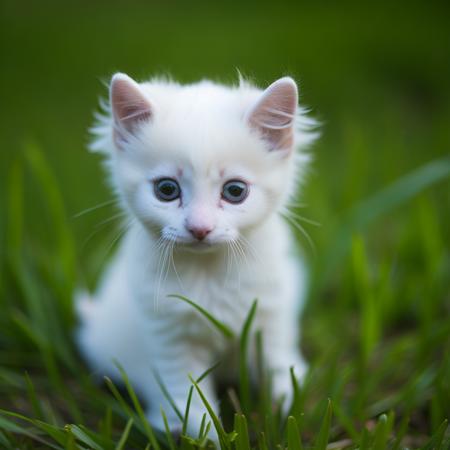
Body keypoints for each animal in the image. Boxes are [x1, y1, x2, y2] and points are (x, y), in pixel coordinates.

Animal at [76, 74, 316, 440]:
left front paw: (287, 407)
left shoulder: (272, 314)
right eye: (166, 190)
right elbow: (188, 393)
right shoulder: (170, 335)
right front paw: (199, 433)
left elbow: (278, 365)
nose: (199, 228)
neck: (209, 274)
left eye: (235, 191)